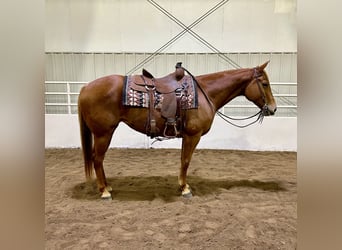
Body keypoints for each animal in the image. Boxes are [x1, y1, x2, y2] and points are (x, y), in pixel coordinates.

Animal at [77, 61, 276, 199]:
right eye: (265, 84)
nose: (273, 109)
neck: (205, 93)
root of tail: (86, 87)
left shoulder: (186, 136)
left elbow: (182, 160)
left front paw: (181, 185)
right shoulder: (192, 135)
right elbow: (186, 161)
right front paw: (185, 188)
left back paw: (107, 186)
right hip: (103, 133)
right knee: (97, 159)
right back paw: (104, 191)